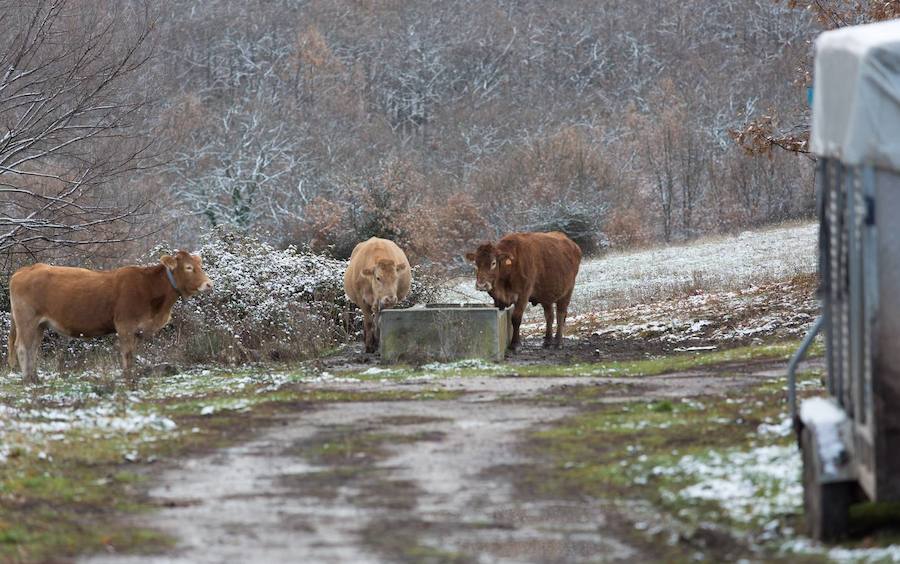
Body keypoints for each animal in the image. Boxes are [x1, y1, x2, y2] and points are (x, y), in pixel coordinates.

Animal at [6, 252, 213, 382]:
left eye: (200, 265)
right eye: (188, 267)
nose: (209, 284)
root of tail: (25, 270)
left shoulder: (137, 330)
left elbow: (133, 354)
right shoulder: (125, 325)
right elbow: (127, 354)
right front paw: (128, 378)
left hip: (39, 324)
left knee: (33, 348)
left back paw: (34, 377)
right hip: (26, 320)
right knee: (22, 347)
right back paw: (28, 380)